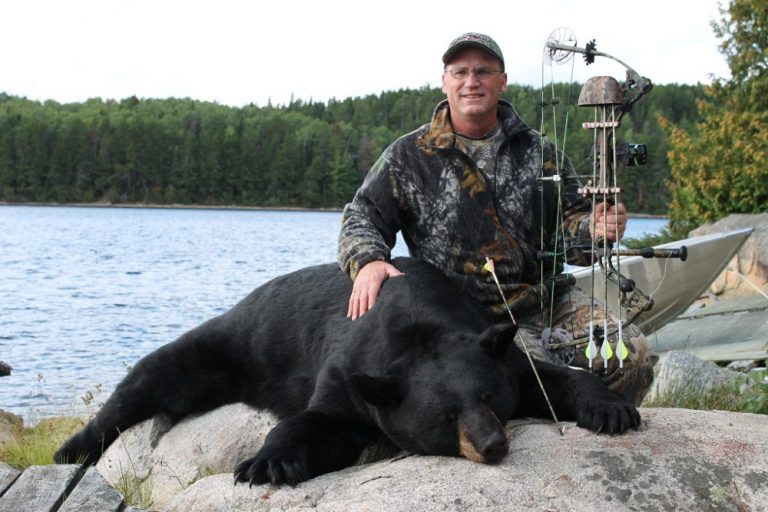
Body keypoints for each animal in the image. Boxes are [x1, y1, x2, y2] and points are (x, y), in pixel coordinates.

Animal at [54, 257, 640, 487]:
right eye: (446, 416)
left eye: (488, 398)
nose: (493, 444)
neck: (414, 318)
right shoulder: (350, 372)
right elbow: (318, 421)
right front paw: (265, 463)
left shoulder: (490, 344)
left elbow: (551, 377)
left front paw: (612, 409)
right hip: (227, 343)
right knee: (149, 377)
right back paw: (71, 449)